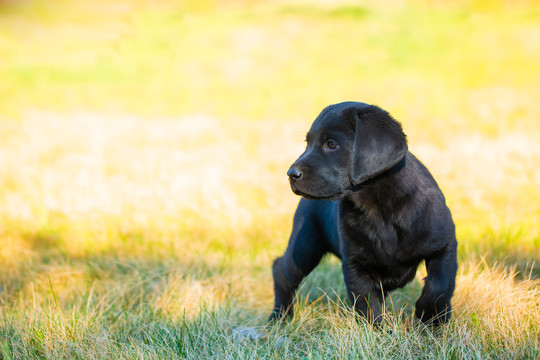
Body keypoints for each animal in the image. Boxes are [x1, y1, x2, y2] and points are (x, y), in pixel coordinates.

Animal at [268, 102, 456, 326]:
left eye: (331, 144)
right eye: (308, 143)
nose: (291, 174)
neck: (378, 210)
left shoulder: (444, 244)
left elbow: (439, 285)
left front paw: (430, 318)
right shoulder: (355, 263)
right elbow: (367, 304)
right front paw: (380, 332)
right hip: (305, 245)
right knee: (281, 270)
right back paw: (279, 317)